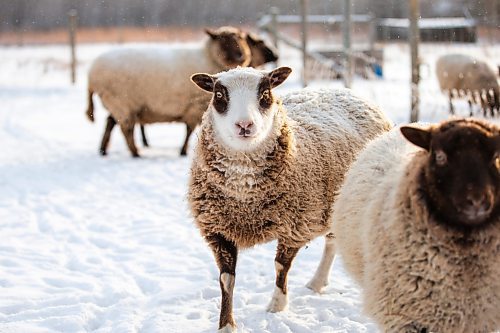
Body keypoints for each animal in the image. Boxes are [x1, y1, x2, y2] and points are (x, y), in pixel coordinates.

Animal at [85, 26, 254, 157]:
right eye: (223, 39)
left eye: (241, 38)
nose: (241, 55)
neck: (208, 58)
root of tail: (91, 76)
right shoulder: (195, 107)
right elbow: (189, 130)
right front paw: (183, 151)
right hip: (121, 102)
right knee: (126, 129)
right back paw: (135, 153)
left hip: (118, 104)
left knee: (110, 123)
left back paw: (103, 150)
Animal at [187, 66, 390, 330]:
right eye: (219, 94)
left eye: (265, 93)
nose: (244, 125)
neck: (245, 198)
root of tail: (345, 90)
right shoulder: (218, 229)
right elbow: (226, 279)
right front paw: (226, 325)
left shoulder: (296, 225)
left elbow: (281, 266)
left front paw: (277, 305)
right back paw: (317, 282)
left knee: (333, 243)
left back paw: (320, 281)